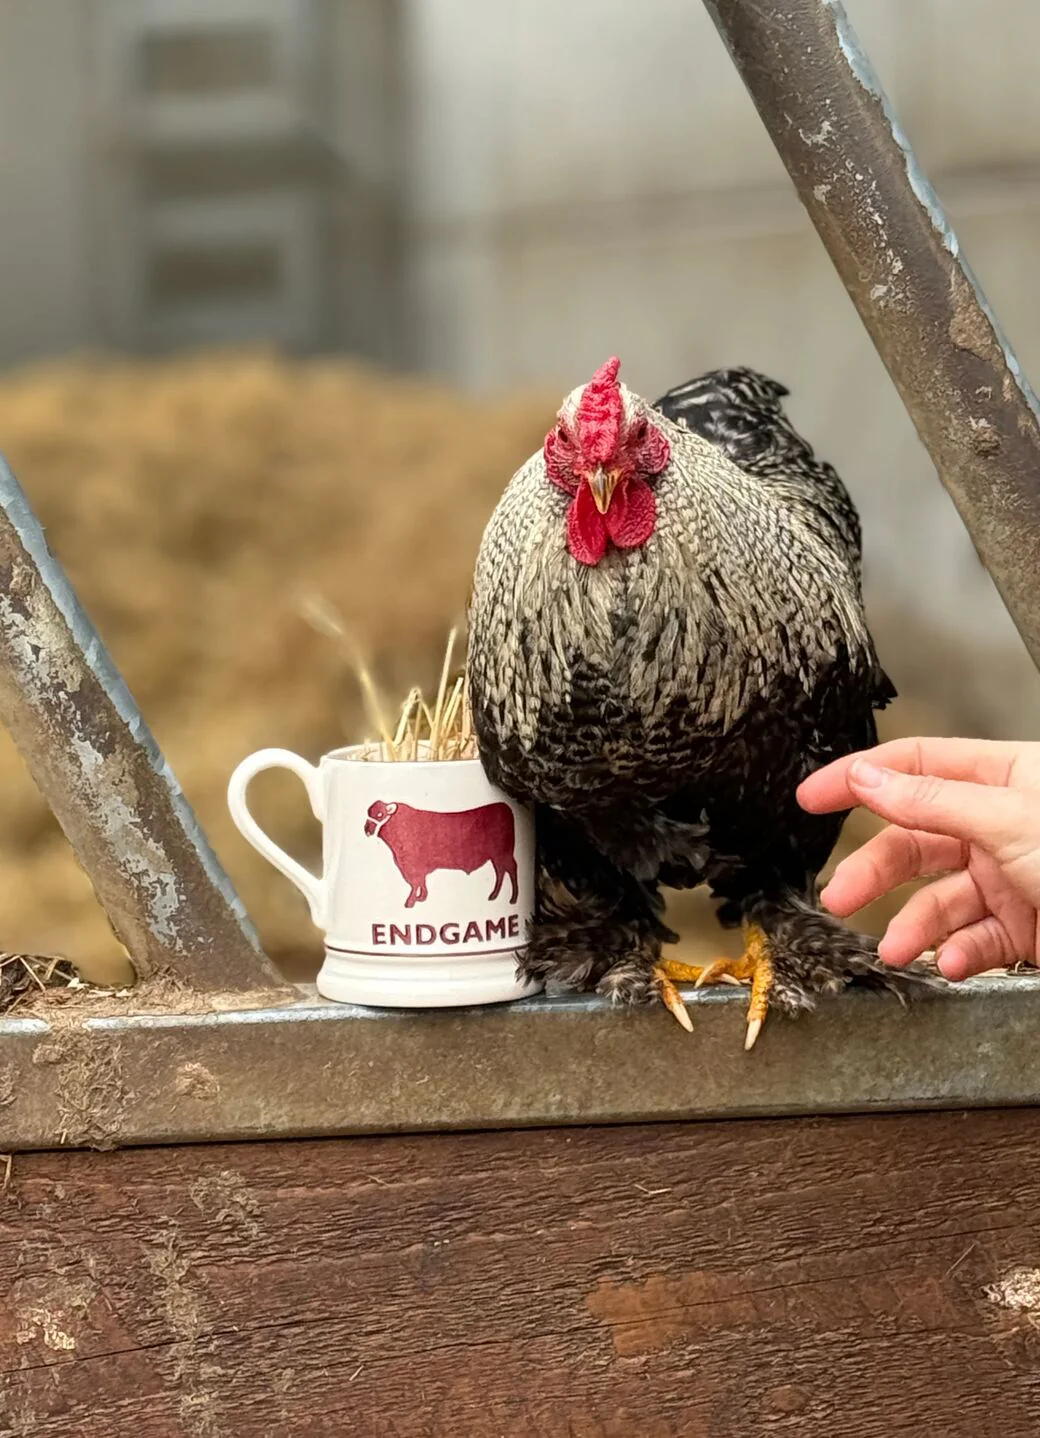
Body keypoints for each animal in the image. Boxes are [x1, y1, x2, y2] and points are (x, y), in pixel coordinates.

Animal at [364, 799, 518, 908]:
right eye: (369, 813)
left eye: (380, 814)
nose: (367, 829)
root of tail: (503, 806)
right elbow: (421, 882)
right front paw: (421, 897)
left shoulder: (412, 866)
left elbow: (415, 883)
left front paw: (410, 902)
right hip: (496, 857)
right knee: (500, 871)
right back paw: (494, 896)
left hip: (503, 854)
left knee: (510, 869)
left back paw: (513, 898)